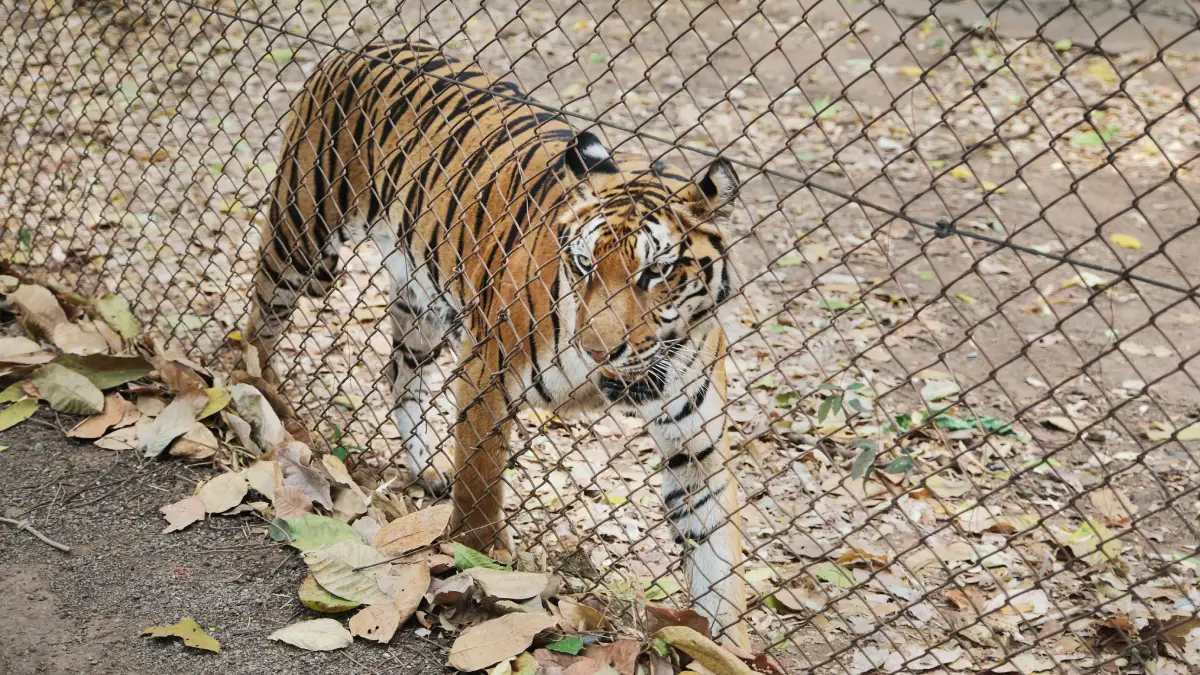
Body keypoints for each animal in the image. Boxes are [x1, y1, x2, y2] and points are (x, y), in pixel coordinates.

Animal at [244, 39, 750, 647]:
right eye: (584, 264)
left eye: (656, 273)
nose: (598, 351)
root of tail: (358, 46)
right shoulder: (489, 370)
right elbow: (481, 483)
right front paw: (480, 563)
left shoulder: (695, 444)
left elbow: (719, 564)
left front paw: (728, 649)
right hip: (301, 235)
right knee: (257, 322)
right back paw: (262, 395)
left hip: (423, 303)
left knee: (400, 376)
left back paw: (427, 466)